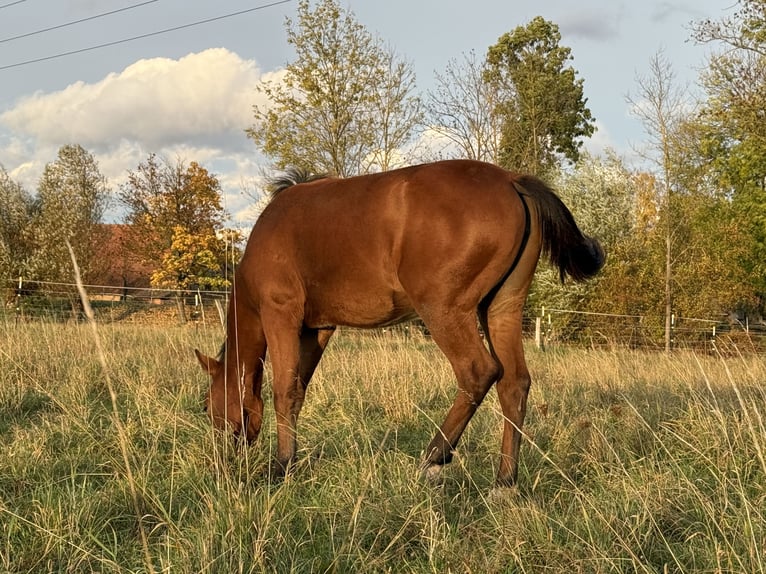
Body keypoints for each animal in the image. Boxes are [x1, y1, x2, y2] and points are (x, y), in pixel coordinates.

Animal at [195, 159, 604, 486]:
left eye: (207, 405)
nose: (220, 463)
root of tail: (511, 180)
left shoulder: (281, 315)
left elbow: (283, 390)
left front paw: (281, 466)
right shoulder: (317, 328)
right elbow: (297, 391)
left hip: (444, 311)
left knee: (478, 372)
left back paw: (435, 456)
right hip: (501, 309)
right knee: (514, 385)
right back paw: (505, 481)